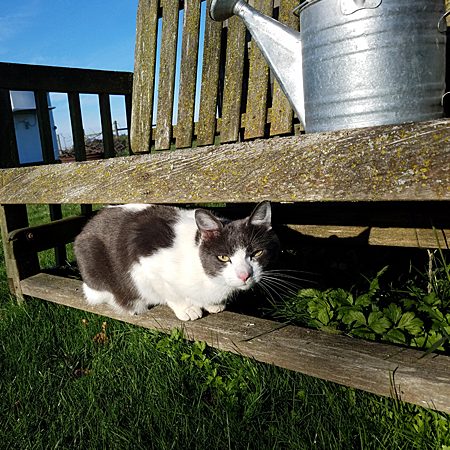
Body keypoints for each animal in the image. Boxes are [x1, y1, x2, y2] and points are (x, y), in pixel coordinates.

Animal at [74, 200, 280, 320]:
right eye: (223, 257)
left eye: (257, 253)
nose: (245, 275)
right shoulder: (144, 258)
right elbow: (170, 292)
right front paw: (187, 309)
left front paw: (212, 305)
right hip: (92, 258)